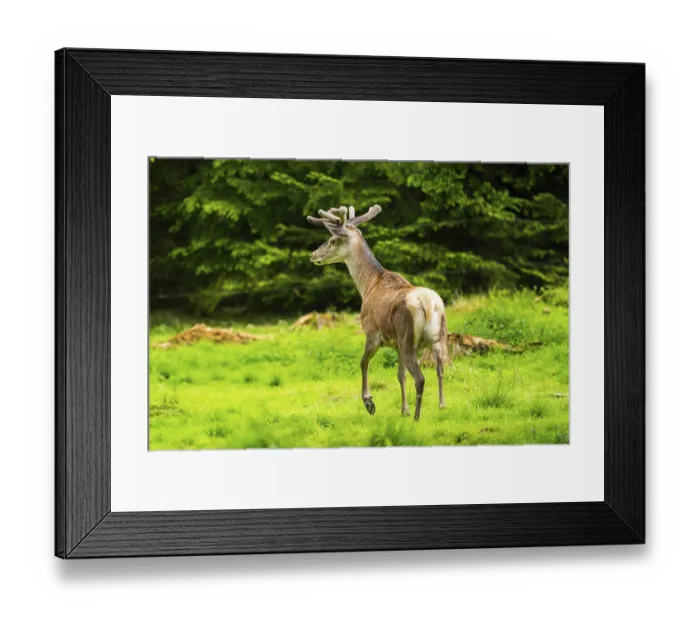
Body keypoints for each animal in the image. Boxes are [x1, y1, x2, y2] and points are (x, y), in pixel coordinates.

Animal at [307, 205, 448, 421]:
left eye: (332, 240)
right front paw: (403, 410)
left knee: (420, 378)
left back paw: (417, 416)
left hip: (408, 338)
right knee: (441, 369)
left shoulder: (371, 331)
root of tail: (428, 304)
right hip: (438, 337)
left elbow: (363, 362)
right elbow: (400, 375)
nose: (313, 254)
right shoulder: (396, 345)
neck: (367, 285)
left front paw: (369, 402)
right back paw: (441, 405)